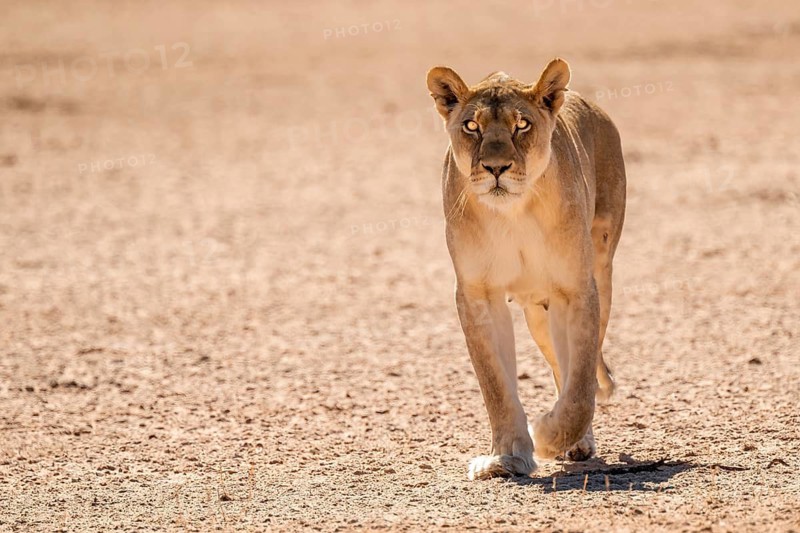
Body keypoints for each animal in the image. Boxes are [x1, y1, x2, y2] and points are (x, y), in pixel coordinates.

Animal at [426, 58, 626, 480]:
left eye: (522, 124)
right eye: (472, 126)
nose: (495, 167)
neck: (513, 214)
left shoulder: (576, 289)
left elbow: (580, 386)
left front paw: (548, 436)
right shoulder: (477, 295)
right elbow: (496, 385)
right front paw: (507, 456)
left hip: (600, 273)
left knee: (577, 372)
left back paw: (577, 441)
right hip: (538, 311)